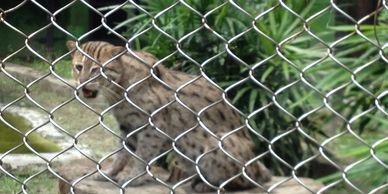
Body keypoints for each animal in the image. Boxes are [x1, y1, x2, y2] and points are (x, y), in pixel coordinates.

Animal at [66, 40, 272, 192]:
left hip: (218, 142)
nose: (82, 83)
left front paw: (133, 176)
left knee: (249, 180)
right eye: (78, 67)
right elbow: (122, 153)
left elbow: (141, 155)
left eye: (97, 70)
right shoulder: (128, 126)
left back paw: (206, 184)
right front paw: (110, 173)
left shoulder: (153, 127)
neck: (118, 91)